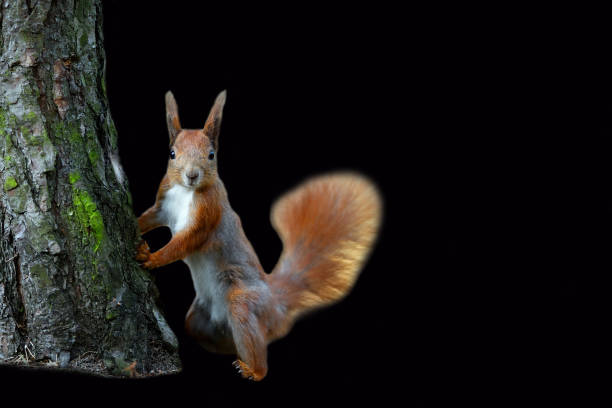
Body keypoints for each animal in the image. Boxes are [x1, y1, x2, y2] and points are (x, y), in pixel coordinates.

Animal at [136, 91, 382, 380]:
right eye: (172, 153)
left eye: (211, 155)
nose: (192, 175)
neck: (185, 193)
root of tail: (276, 304)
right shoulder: (163, 205)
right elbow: (149, 218)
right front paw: (137, 228)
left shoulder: (207, 216)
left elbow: (183, 244)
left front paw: (152, 257)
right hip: (199, 321)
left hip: (243, 302)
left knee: (259, 348)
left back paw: (252, 370)